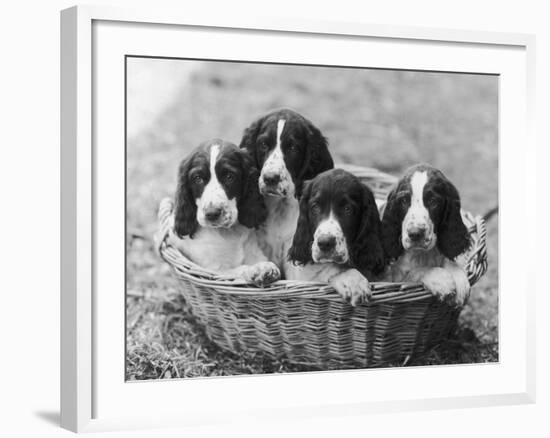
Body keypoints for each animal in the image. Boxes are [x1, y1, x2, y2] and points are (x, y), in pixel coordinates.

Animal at [167, 139, 280, 286]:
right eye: (197, 178)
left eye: (229, 177)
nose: (212, 213)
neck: (228, 233)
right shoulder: (214, 270)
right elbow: (238, 269)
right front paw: (258, 269)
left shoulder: (255, 252)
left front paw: (264, 267)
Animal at [382, 163, 472, 304]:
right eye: (403, 201)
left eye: (433, 201)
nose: (415, 234)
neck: (422, 255)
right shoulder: (395, 279)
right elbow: (414, 273)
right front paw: (441, 279)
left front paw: (459, 279)